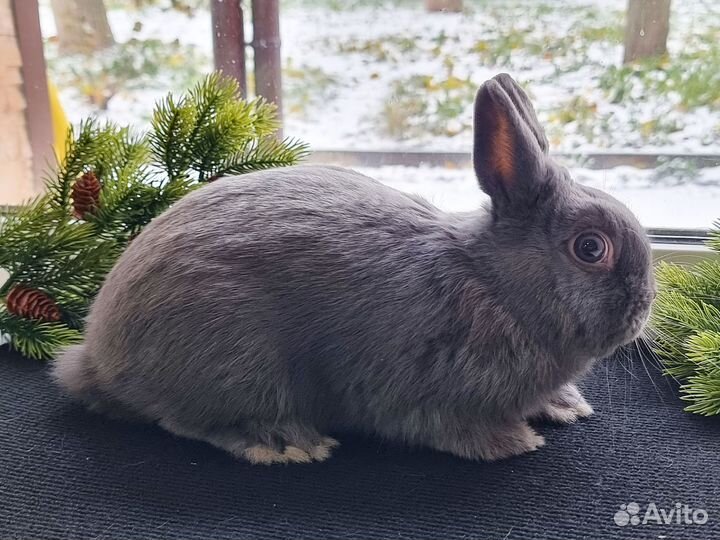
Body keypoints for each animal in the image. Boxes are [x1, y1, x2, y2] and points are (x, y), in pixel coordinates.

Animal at [52, 73, 655, 465]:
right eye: (591, 248)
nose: (643, 308)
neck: (495, 285)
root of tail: (97, 360)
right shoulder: (428, 389)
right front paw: (513, 441)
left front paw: (565, 407)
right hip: (237, 361)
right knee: (187, 419)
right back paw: (284, 441)